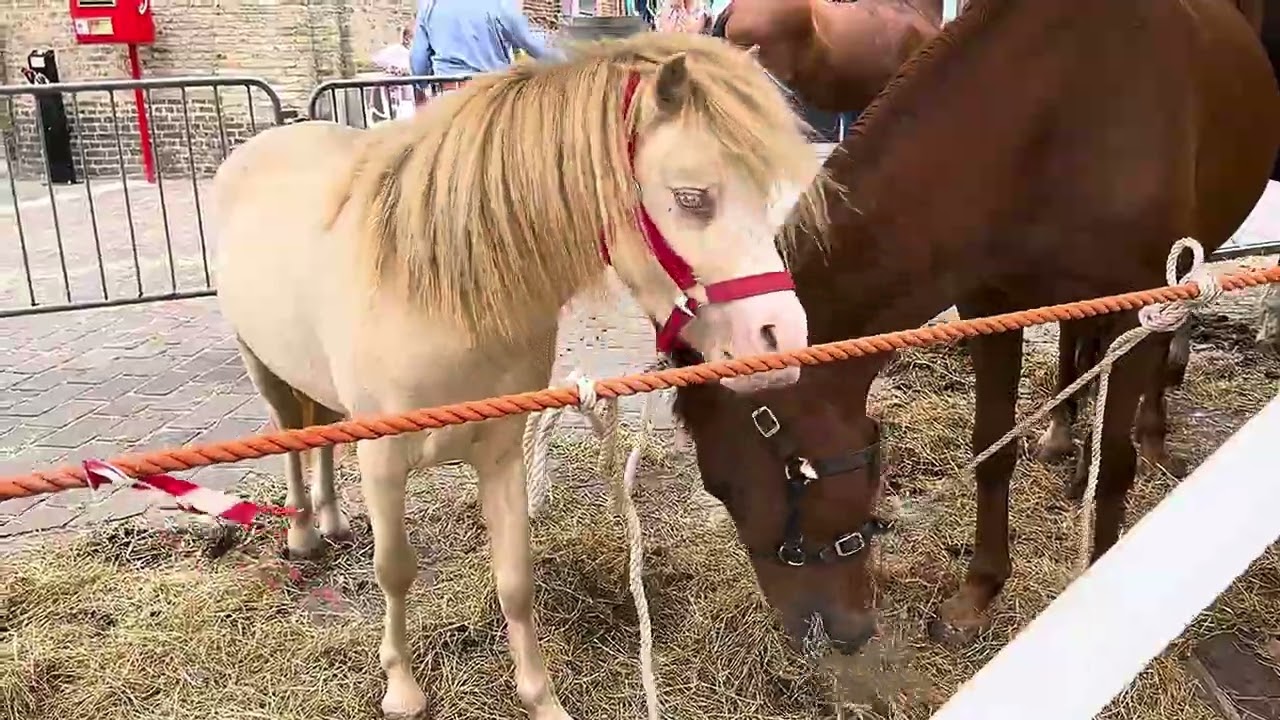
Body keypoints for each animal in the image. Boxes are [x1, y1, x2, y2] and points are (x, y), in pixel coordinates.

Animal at [211, 33, 827, 719]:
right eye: (693, 197)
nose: (781, 340)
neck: (442, 292)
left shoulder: (502, 449)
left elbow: (514, 578)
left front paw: (540, 698)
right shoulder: (383, 458)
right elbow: (394, 569)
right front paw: (402, 689)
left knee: (318, 433)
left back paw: (332, 521)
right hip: (262, 367)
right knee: (292, 438)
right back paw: (301, 533)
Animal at [673, 0, 1280, 654]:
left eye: (791, 472)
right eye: (718, 490)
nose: (819, 632)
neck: (1057, 111)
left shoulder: (1136, 309)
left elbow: (1116, 467)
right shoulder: (992, 307)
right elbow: (992, 447)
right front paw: (979, 592)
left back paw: (1151, 431)